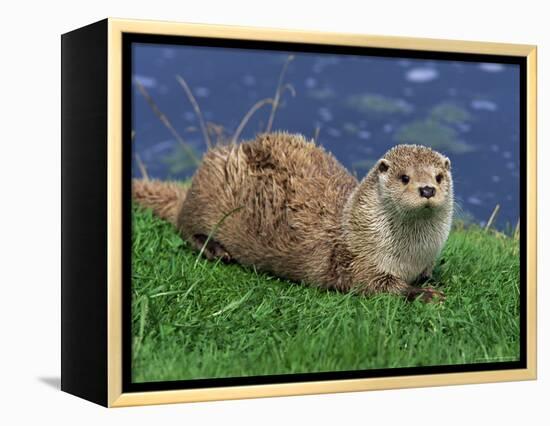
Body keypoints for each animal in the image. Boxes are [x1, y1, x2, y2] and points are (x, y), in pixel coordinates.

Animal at [134, 131, 452, 302]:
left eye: (439, 176)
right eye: (404, 177)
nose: (427, 189)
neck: (410, 256)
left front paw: (429, 282)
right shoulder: (356, 260)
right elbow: (376, 286)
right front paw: (424, 294)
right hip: (210, 188)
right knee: (184, 225)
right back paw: (215, 249)